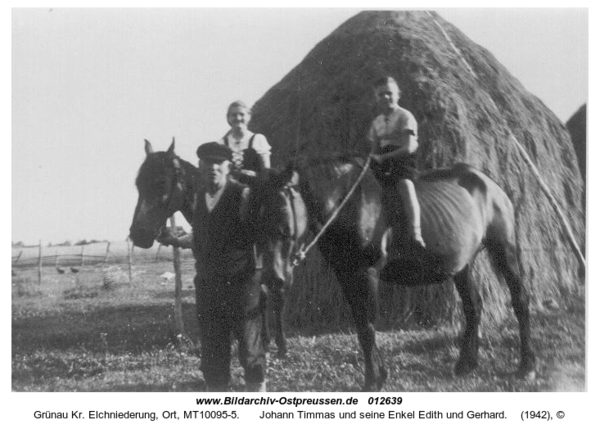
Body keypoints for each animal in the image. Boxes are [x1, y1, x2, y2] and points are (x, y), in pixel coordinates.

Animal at [129, 140, 284, 354]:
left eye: (161, 183)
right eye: (138, 184)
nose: (138, 234)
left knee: (274, 295)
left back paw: (280, 344)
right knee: (264, 297)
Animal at [251, 155, 536, 390]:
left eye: (283, 215)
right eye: (256, 218)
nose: (271, 276)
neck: (349, 204)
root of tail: (490, 184)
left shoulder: (366, 273)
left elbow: (367, 326)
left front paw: (373, 379)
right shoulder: (345, 275)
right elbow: (360, 325)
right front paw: (377, 375)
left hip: (504, 248)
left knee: (519, 300)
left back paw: (527, 365)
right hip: (462, 264)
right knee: (473, 306)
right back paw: (466, 363)